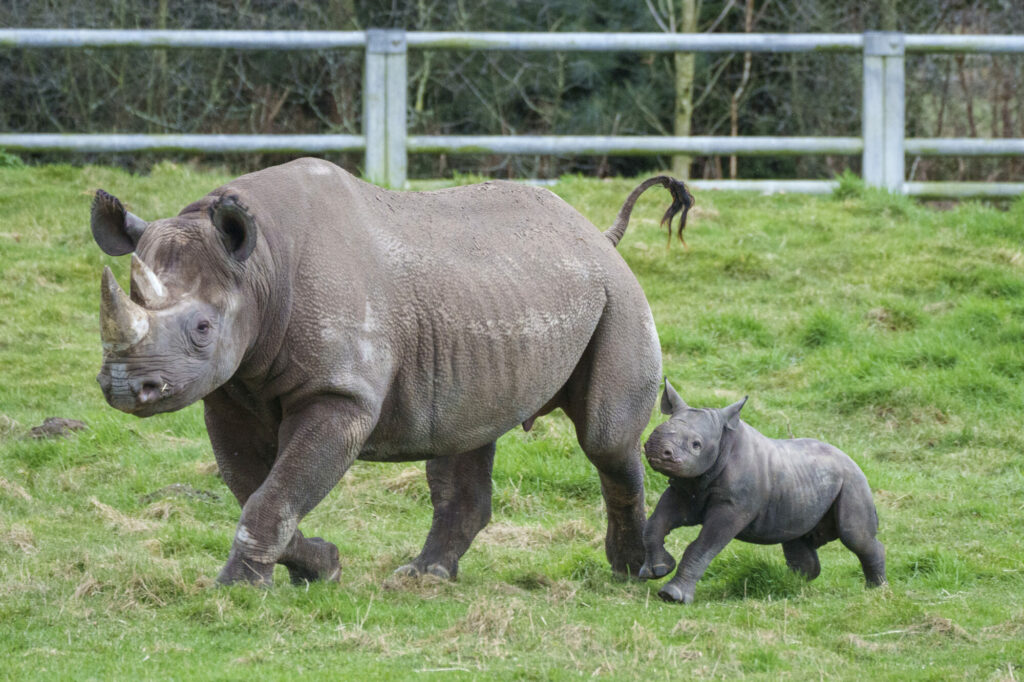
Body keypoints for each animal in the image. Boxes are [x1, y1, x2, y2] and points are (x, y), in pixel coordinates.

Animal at [90, 158, 693, 586]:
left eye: (202, 329)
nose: (124, 385)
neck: (258, 268)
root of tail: (596, 235)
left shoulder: (341, 393)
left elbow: (273, 492)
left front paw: (237, 589)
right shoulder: (229, 391)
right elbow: (254, 487)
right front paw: (322, 566)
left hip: (617, 296)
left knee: (606, 440)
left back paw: (638, 571)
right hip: (492, 303)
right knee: (463, 433)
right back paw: (425, 577)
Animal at [640, 380, 887, 603]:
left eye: (696, 445)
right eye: (656, 429)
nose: (656, 447)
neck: (723, 443)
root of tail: (853, 461)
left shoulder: (733, 507)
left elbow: (702, 546)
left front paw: (672, 596)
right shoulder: (683, 489)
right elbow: (655, 523)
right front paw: (658, 569)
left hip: (853, 482)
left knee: (854, 536)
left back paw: (876, 591)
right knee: (796, 540)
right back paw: (789, 586)